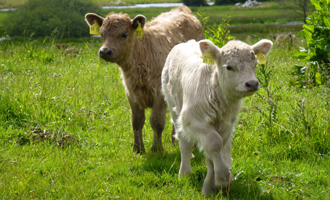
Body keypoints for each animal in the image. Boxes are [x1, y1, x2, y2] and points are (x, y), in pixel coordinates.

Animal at [162, 39, 274, 195]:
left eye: (255, 64)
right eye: (229, 67)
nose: (252, 84)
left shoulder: (226, 125)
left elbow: (215, 151)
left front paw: (210, 186)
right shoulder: (192, 120)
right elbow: (214, 143)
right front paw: (222, 179)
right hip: (174, 108)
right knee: (185, 143)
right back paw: (184, 174)